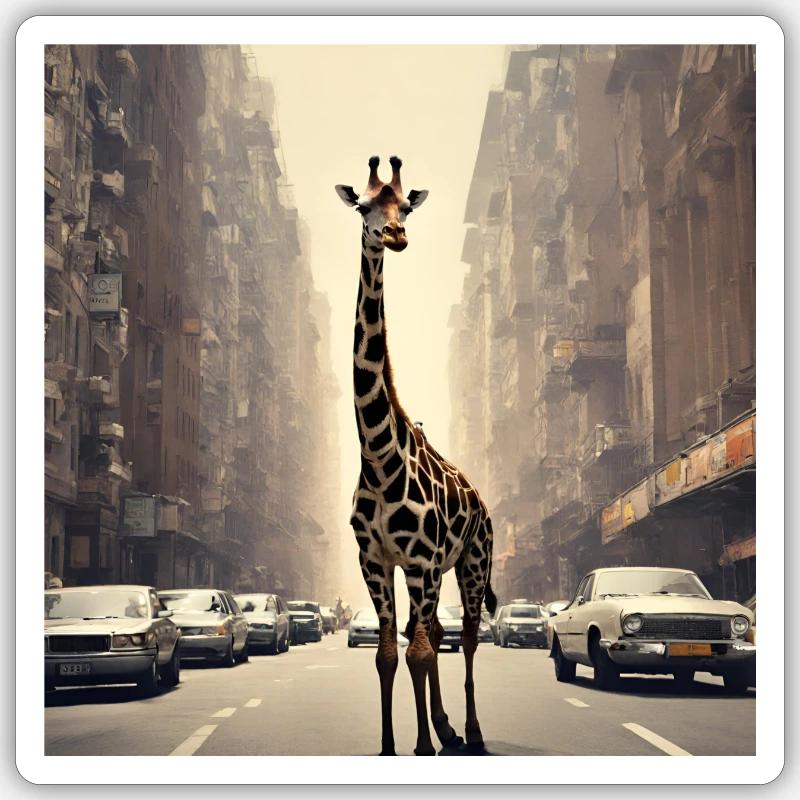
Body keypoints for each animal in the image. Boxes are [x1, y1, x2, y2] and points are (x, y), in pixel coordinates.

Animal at [335, 156, 497, 756]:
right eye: (363, 206)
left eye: (405, 206)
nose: (394, 236)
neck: (381, 459)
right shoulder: (377, 561)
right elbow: (389, 654)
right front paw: (391, 745)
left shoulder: (424, 561)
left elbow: (421, 652)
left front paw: (424, 745)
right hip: (430, 573)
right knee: (433, 633)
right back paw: (448, 727)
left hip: (472, 560)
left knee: (466, 636)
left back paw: (470, 732)